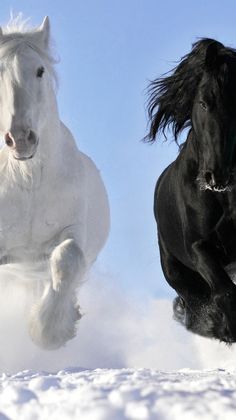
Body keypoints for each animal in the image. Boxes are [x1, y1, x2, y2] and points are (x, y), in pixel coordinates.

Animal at [0, 16, 109, 350]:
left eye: (40, 70)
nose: (20, 138)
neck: (28, 181)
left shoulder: (72, 233)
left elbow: (67, 259)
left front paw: (49, 331)